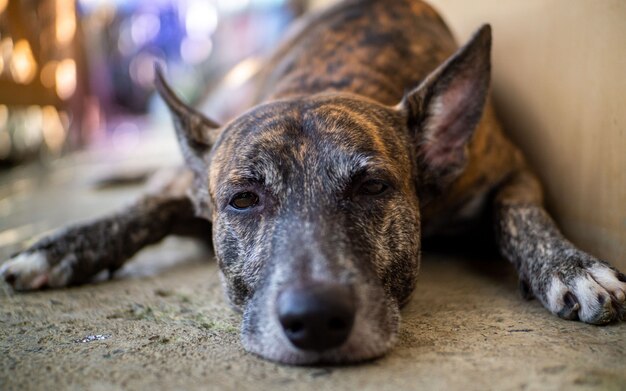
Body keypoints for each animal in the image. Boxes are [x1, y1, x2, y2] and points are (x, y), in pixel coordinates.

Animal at [1, 0, 624, 366]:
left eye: (373, 188)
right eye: (243, 200)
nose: (316, 320)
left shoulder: (512, 168)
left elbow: (518, 212)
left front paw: (572, 265)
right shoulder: (186, 187)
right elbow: (141, 211)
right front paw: (57, 248)